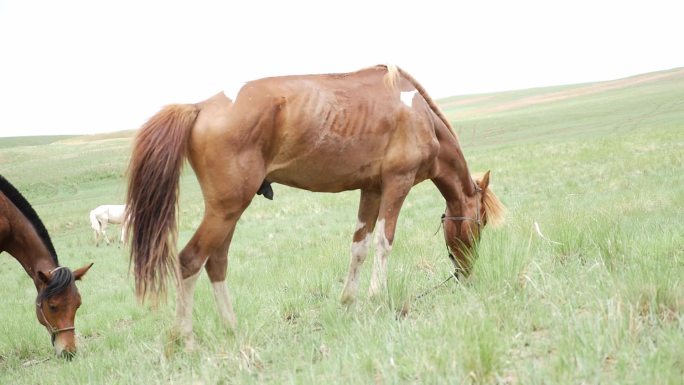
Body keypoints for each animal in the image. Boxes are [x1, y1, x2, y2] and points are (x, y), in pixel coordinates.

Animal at [125, 63, 504, 344]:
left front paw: (348, 302)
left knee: (216, 262)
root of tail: (199, 107)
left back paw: (232, 329)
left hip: (228, 210)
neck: (418, 115)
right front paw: (376, 298)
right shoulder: (397, 183)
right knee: (190, 260)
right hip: (227, 207)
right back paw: (185, 339)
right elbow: (384, 243)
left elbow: (359, 247)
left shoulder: (372, 190)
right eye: (481, 223)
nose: (465, 274)